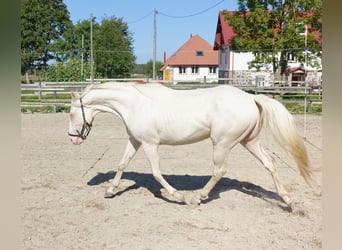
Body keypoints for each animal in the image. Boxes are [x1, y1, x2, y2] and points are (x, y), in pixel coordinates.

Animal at [68, 82, 312, 209]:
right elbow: (121, 164)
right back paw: (288, 201)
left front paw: (179, 196)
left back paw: (198, 197)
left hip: (222, 144)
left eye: (71, 113)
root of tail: (251, 98)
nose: (73, 139)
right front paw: (110, 191)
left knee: (219, 170)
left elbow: (156, 173)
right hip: (248, 141)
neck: (134, 105)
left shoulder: (150, 144)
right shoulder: (135, 141)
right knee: (270, 164)